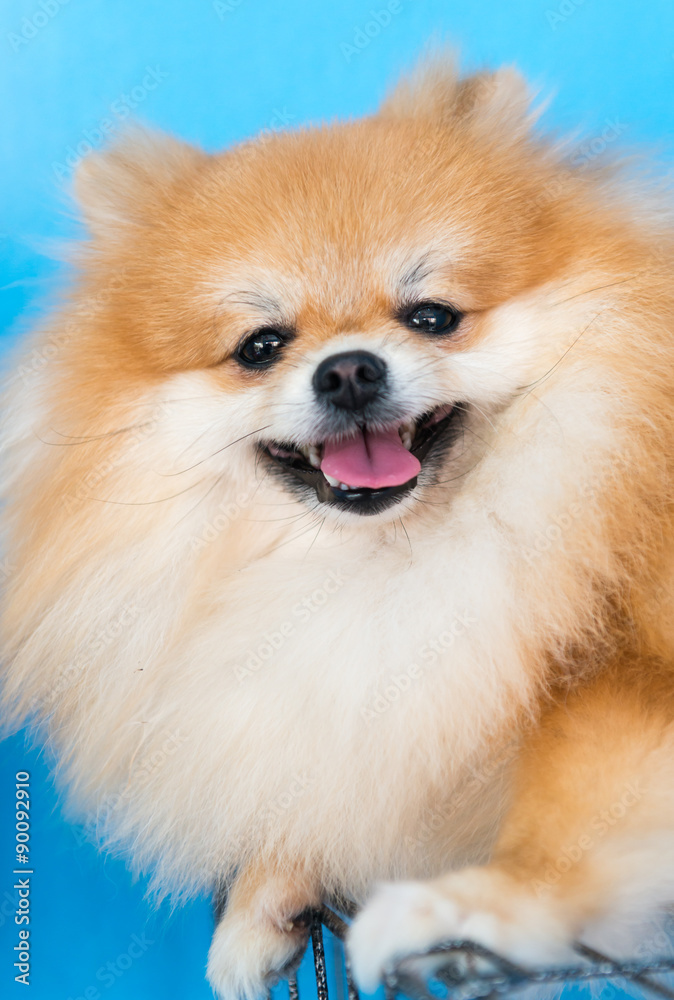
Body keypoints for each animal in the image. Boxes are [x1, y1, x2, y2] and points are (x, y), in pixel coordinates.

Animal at [1, 56, 672, 1000]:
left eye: (431, 316)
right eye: (260, 346)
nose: (350, 369)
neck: (389, 566)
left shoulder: (623, 676)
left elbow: (562, 823)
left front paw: (469, 905)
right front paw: (264, 899)